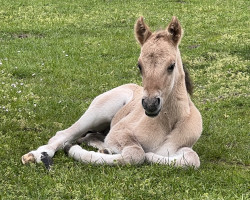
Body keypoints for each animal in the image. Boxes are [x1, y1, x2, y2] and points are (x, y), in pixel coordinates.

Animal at [21, 16, 202, 168]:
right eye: (139, 65)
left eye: (171, 65)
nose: (150, 104)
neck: (168, 123)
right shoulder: (119, 132)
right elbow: (137, 153)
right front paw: (73, 150)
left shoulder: (181, 147)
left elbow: (192, 158)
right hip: (97, 113)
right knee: (64, 134)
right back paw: (38, 155)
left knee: (90, 137)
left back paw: (103, 149)